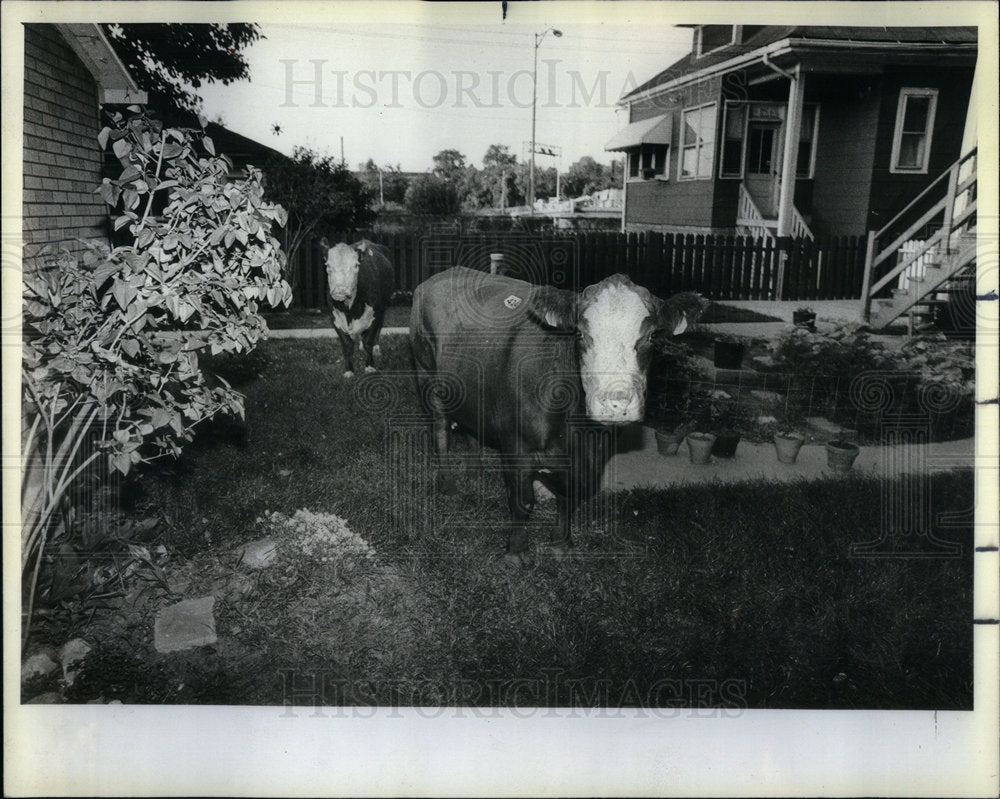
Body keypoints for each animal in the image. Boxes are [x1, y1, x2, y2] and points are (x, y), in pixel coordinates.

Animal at [324, 238, 394, 378]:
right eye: (328, 266)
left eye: (356, 265)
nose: (340, 290)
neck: (350, 310)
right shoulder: (334, 317)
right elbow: (347, 345)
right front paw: (349, 371)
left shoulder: (375, 313)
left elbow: (368, 340)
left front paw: (370, 367)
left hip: (384, 305)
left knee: (380, 326)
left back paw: (376, 348)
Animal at [406, 268, 704, 564]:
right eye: (580, 333)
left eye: (652, 337)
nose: (616, 403)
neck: (576, 430)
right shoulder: (516, 445)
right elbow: (522, 500)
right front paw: (516, 551)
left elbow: (569, 496)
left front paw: (562, 543)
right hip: (427, 377)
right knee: (441, 431)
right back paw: (448, 486)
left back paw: (475, 471)